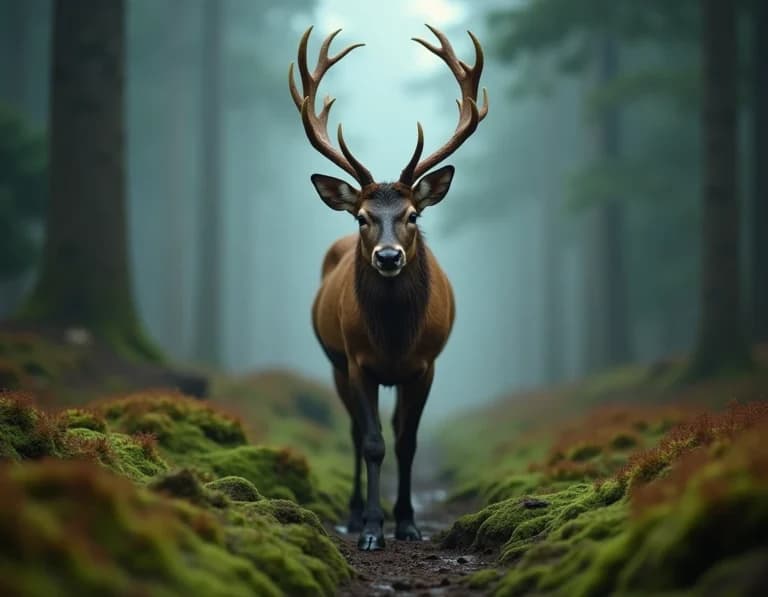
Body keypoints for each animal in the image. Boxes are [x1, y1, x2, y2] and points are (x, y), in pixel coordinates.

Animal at [289, 24, 487, 551]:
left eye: (413, 214)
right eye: (362, 217)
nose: (388, 257)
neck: (395, 337)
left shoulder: (426, 364)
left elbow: (407, 441)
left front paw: (408, 523)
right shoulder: (360, 362)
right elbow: (374, 443)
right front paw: (374, 529)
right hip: (335, 362)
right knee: (354, 433)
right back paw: (356, 513)